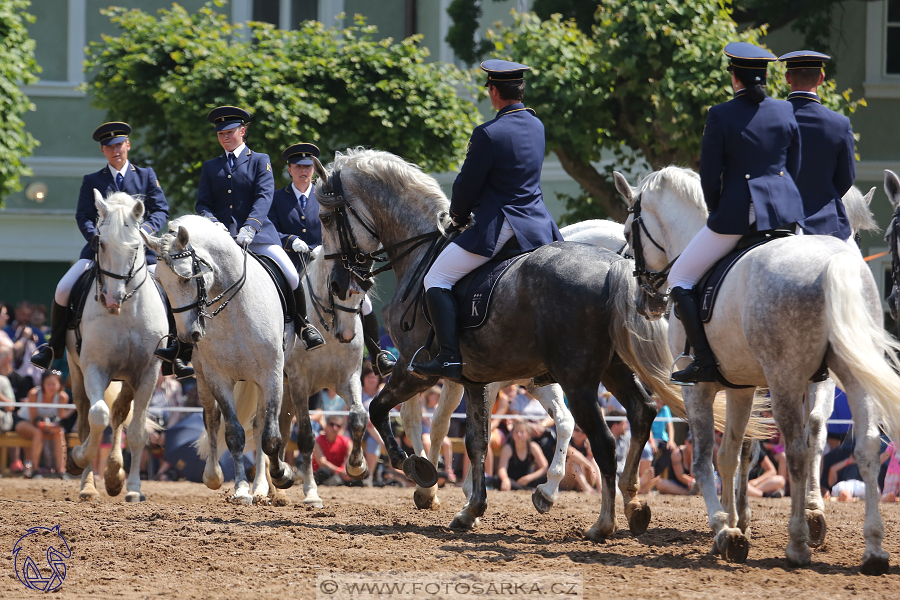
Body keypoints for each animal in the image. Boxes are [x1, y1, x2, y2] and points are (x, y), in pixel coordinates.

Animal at [66, 191, 169, 502]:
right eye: (100, 243)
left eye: (136, 246)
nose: (111, 300)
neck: (126, 314)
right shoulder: (94, 368)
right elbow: (97, 416)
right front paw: (77, 458)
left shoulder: (148, 371)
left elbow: (136, 431)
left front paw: (132, 487)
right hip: (76, 372)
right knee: (86, 419)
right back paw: (88, 485)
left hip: (128, 378)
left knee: (121, 413)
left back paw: (115, 475)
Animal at [142, 217, 294, 506]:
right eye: (161, 283)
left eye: (187, 278)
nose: (188, 336)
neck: (233, 310)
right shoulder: (218, 378)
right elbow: (234, 434)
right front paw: (241, 489)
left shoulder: (271, 375)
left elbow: (270, 435)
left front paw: (282, 475)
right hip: (203, 379)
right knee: (211, 418)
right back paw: (215, 476)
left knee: (260, 425)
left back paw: (262, 487)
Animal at [316, 148, 688, 536]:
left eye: (325, 218)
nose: (340, 283)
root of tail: (610, 269)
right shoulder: (476, 379)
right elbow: (476, 439)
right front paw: (470, 506)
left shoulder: (418, 370)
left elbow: (382, 409)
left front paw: (416, 468)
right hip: (610, 370)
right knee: (641, 412)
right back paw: (633, 505)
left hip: (578, 380)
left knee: (603, 440)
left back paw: (603, 522)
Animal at [620, 166, 900, 576]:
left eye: (629, 233)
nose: (647, 301)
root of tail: (834, 262)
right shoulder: (742, 385)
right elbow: (732, 453)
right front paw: (735, 521)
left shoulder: (700, 386)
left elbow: (706, 458)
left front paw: (725, 528)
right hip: (848, 376)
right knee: (861, 444)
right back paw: (872, 548)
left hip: (784, 379)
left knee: (797, 449)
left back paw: (797, 542)